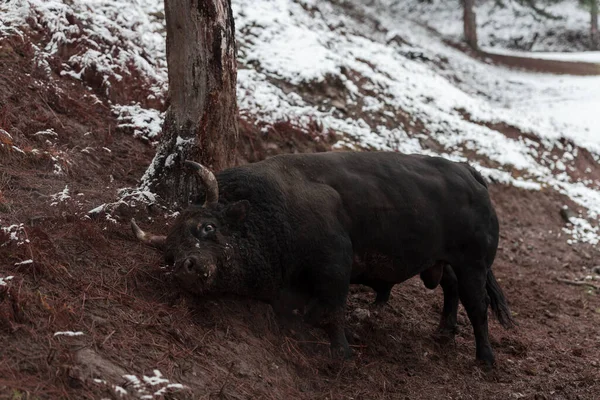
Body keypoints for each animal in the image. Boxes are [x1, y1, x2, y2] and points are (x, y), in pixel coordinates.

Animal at [130, 151, 510, 366]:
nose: (187, 267)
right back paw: (444, 331)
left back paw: (485, 359)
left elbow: (329, 311)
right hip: (442, 262)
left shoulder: (334, 266)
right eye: (169, 254)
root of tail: (470, 174)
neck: (274, 207)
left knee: (477, 306)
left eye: (207, 226)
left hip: (474, 265)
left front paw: (342, 354)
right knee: (451, 288)